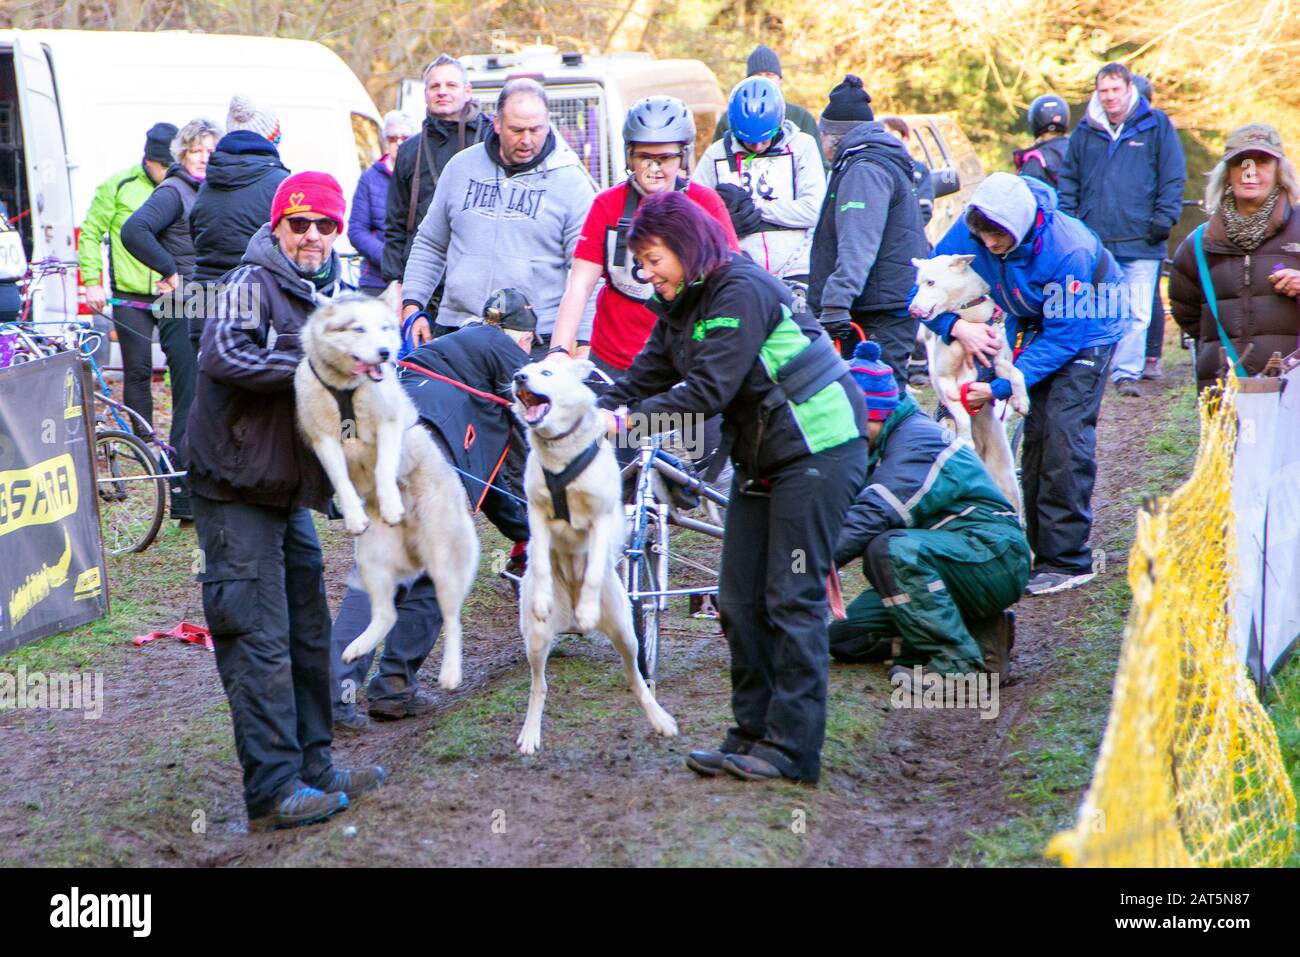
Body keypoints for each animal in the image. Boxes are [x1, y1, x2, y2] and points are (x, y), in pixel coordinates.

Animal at [295, 283, 478, 686]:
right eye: (358, 329)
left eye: (385, 328)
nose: (385, 353)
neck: (346, 389)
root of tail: (413, 551)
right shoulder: (324, 441)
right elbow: (341, 478)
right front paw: (352, 512)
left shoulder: (390, 425)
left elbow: (382, 468)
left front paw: (391, 501)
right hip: (372, 561)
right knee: (387, 615)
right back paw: (359, 645)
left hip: (444, 561)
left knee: (452, 618)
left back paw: (452, 671)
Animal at [506, 358, 676, 754]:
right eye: (525, 368)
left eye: (546, 372)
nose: (519, 377)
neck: (560, 456)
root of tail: (567, 620)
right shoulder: (536, 514)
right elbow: (539, 559)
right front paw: (540, 596)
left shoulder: (601, 518)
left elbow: (596, 566)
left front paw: (587, 603)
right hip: (536, 640)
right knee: (539, 686)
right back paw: (530, 734)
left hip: (627, 634)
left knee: (637, 680)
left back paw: (660, 719)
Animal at [909, 250, 1029, 512]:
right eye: (917, 284)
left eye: (930, 282)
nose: (912, 310)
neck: (968, 317)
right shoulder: (946, 381)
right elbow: (962, 416)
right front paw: (964, 439)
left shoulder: (996, 362)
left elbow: (1017, 374)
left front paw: (1022, 401)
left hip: (1007, 479)